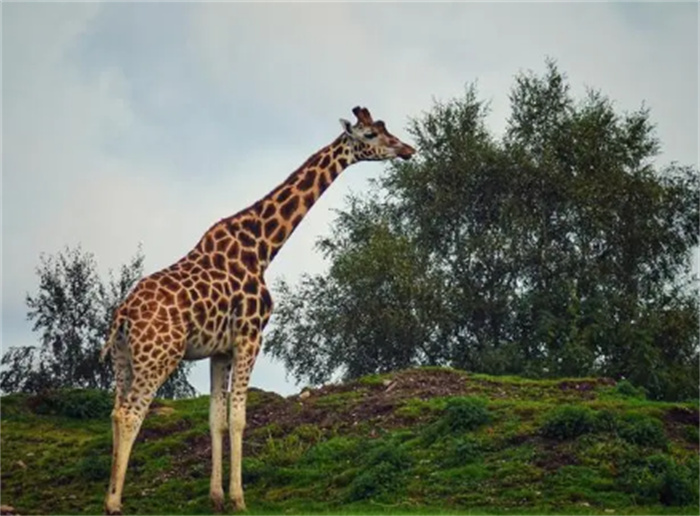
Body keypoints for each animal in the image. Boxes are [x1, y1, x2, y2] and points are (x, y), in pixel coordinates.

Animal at [100, 106, 412, 516]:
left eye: (384, 127)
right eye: (372, 134)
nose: (408, 149)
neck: (262, 247)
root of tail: (122, 318)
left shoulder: (219, 350)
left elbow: (216, 419)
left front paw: (216, 497)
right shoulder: (251, 336)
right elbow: (238, 418)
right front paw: (238, 498)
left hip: (123, 359)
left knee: (114, 411)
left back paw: (110, 495)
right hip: (159, 356)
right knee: (130, 413)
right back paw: (113, 503)